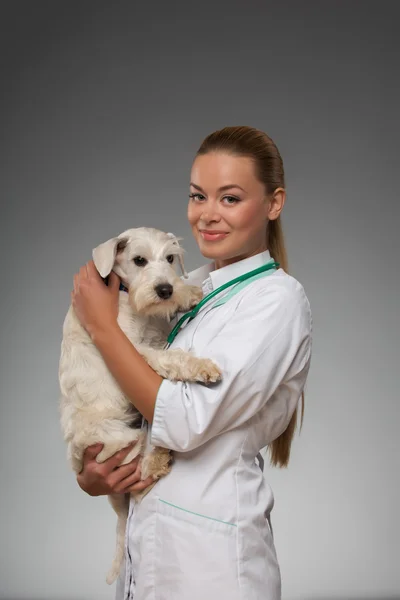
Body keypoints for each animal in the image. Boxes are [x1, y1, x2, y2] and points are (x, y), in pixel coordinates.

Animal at [59, 227, 222, 584]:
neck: (127, 297)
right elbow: (172, 357)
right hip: (121, 442)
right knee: (143, 473)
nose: (164, 289)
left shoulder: (157, 331)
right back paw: (159, 457)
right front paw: (203, 367)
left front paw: (187, 293)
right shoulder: (136, 349)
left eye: (170, 258)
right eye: (138, 260)